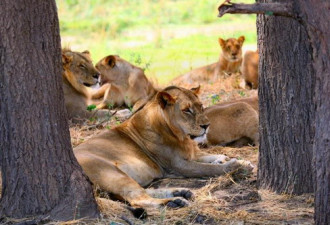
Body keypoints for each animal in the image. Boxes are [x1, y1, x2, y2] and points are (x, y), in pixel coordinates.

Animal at [73, 85, 253, 210]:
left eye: (201, 106)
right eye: (187, 110)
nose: (206, 125)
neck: (182, 138)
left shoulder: (190, 154)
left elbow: (208, 157)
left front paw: (227, 159)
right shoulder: (179, 166)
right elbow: (208, 169)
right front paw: (238, 165)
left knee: (138, 192)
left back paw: (180, 193)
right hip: (111, 173)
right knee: (137, 199)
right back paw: (174, 202)